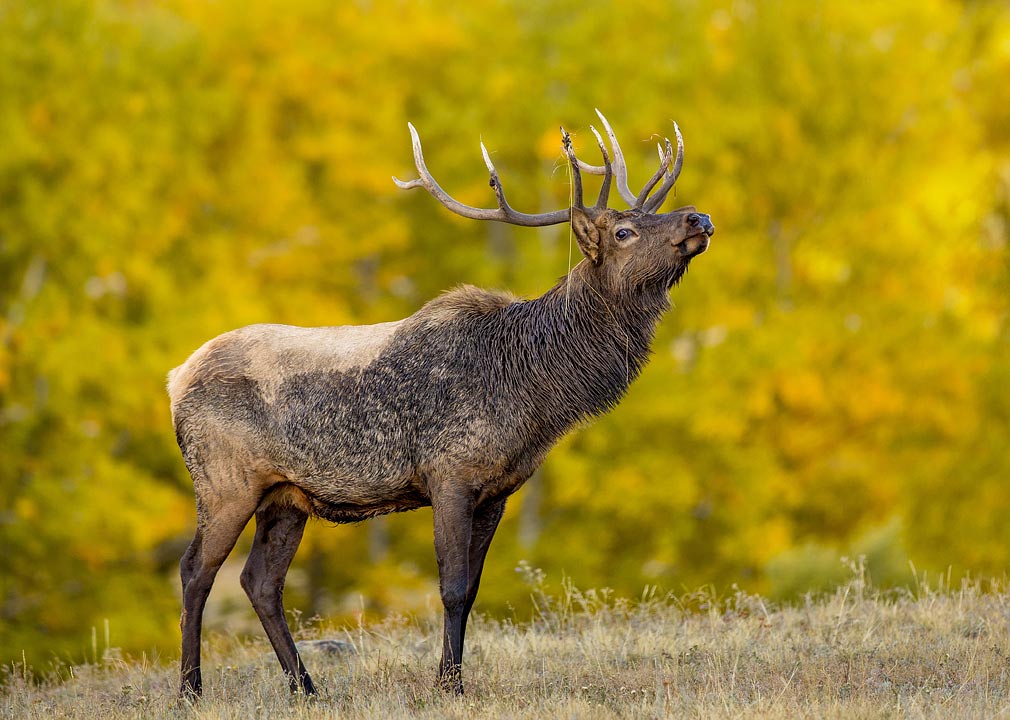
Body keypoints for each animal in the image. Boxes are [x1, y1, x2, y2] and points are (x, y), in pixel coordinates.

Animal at [168, 110, 714, 699]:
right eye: (623, 231)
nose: (699, 217)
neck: (534, 396)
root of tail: (175, 378)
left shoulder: (498, 490)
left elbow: (472, 589)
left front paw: (454, 676)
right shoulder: (449, 473)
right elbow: (450, 587)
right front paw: (447, 684)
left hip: (287, 495)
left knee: (260, 580)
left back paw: (306, 688)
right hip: (223, 480)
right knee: (196, 571)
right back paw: (191, 689)